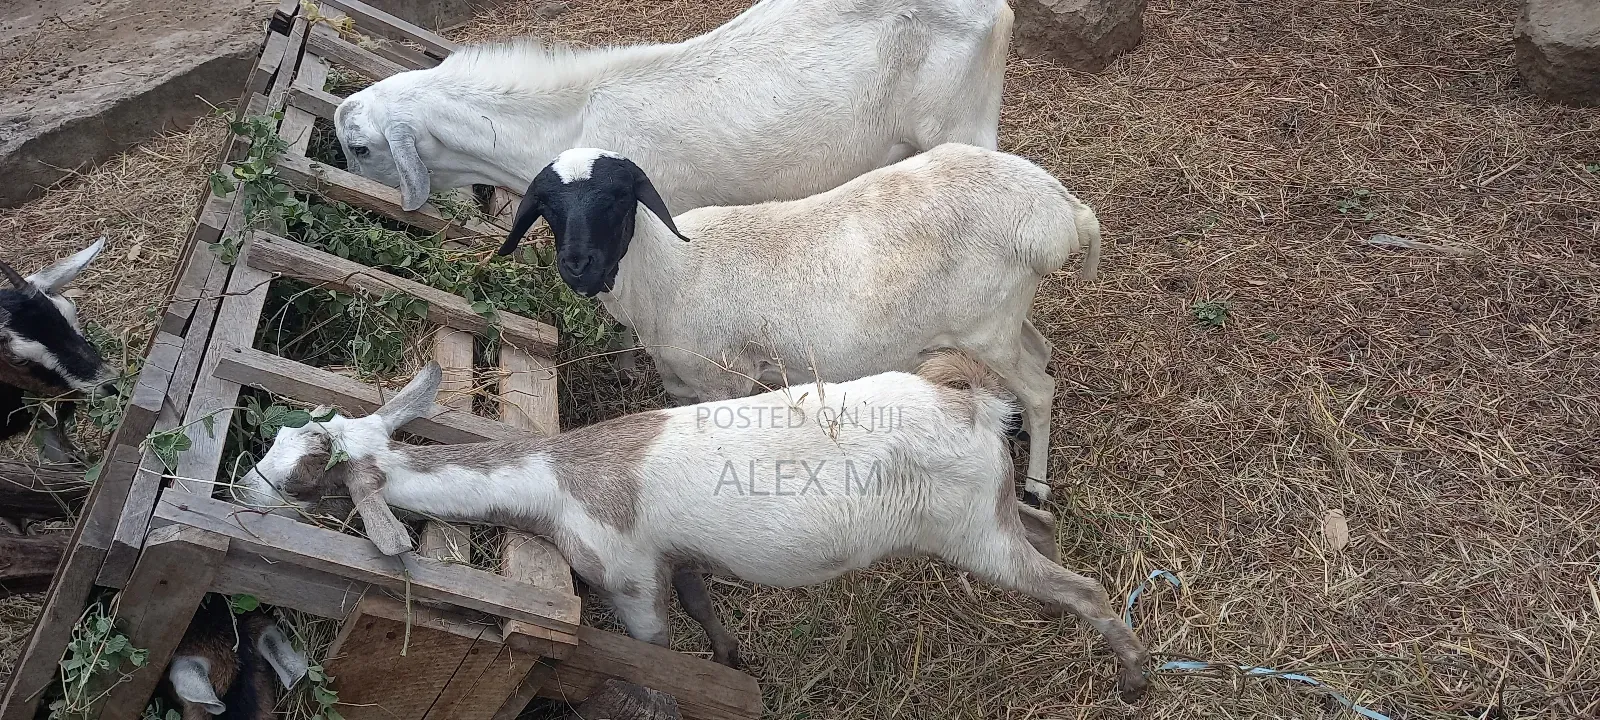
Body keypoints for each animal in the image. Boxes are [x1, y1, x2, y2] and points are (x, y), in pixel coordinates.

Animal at [235, 355, 1153, 700]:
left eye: (307, 475)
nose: (243, 487)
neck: (554, 482)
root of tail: (969, 396)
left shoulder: (629, 576)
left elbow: (654, 661)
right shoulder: (675, 557)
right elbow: (706, 605)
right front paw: (735, 658)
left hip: (972, 531)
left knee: (1083, 585)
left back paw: (1136, 676)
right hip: (993, 511)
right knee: (1048, 535)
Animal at [495, 144, 1100, 504]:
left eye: (616, 199)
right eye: (549, 208)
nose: (579, 267)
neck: (668, 271)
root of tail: (1063, 211)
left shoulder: (726, 379)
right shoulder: (684, 382)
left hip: (986, 328)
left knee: (1042, 388)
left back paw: (1037, 484)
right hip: (1003, 317)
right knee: (1042, 352)